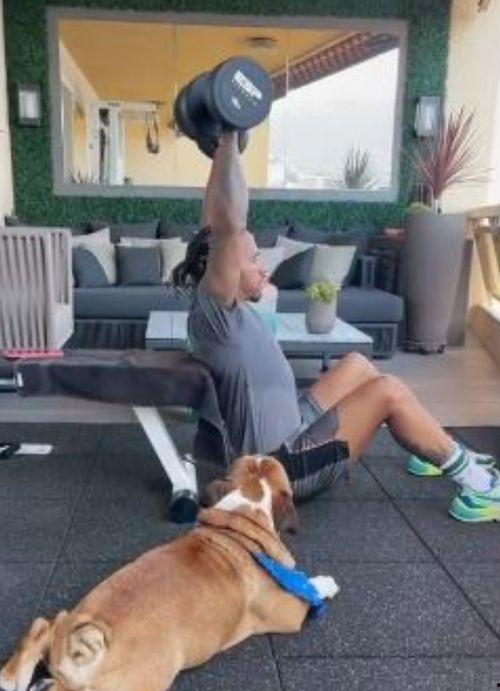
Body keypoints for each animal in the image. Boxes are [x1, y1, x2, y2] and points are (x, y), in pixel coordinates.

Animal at [0, 455, 339, 691]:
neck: (243, 513)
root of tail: (84, 636)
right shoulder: (290, 610)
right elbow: (309, 586)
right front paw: (326, 583)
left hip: (61, 622)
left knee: (41, 626)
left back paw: (13, 677)